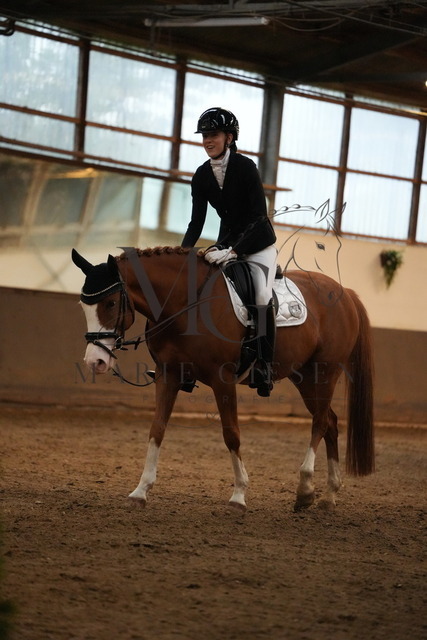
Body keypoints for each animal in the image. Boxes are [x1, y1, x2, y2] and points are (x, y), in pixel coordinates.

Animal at [71, 244, 374, 512]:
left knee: (320, 422)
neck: (186, 303)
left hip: (322, 372)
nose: (95, 361)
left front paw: (239, 496)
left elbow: (231, 434)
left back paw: (306, 490)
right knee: (330, 422)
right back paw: (329, 496)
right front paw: (140, 491)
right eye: (83, 307)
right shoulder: (168, 375)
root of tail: (345, 293)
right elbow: (157, 429)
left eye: (111, 303)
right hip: (304, 377)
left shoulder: (223, 380)